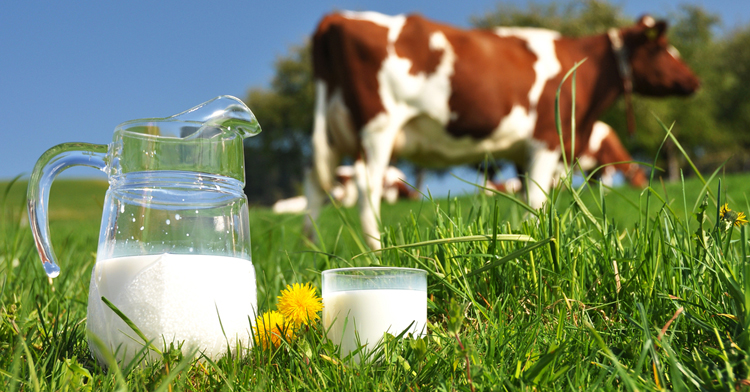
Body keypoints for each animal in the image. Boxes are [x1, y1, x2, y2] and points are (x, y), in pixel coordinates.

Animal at [306, 11, 700, 248]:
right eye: (662, 48)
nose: (694, 81)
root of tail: (336, 16)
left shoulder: (524, 153)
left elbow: (528, 198)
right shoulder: (546, 139)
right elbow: (538, 199)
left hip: (332, 132)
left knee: (316, 186)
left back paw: (313, 248)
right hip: (378, 128)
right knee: (366, 186)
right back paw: (377, 250)